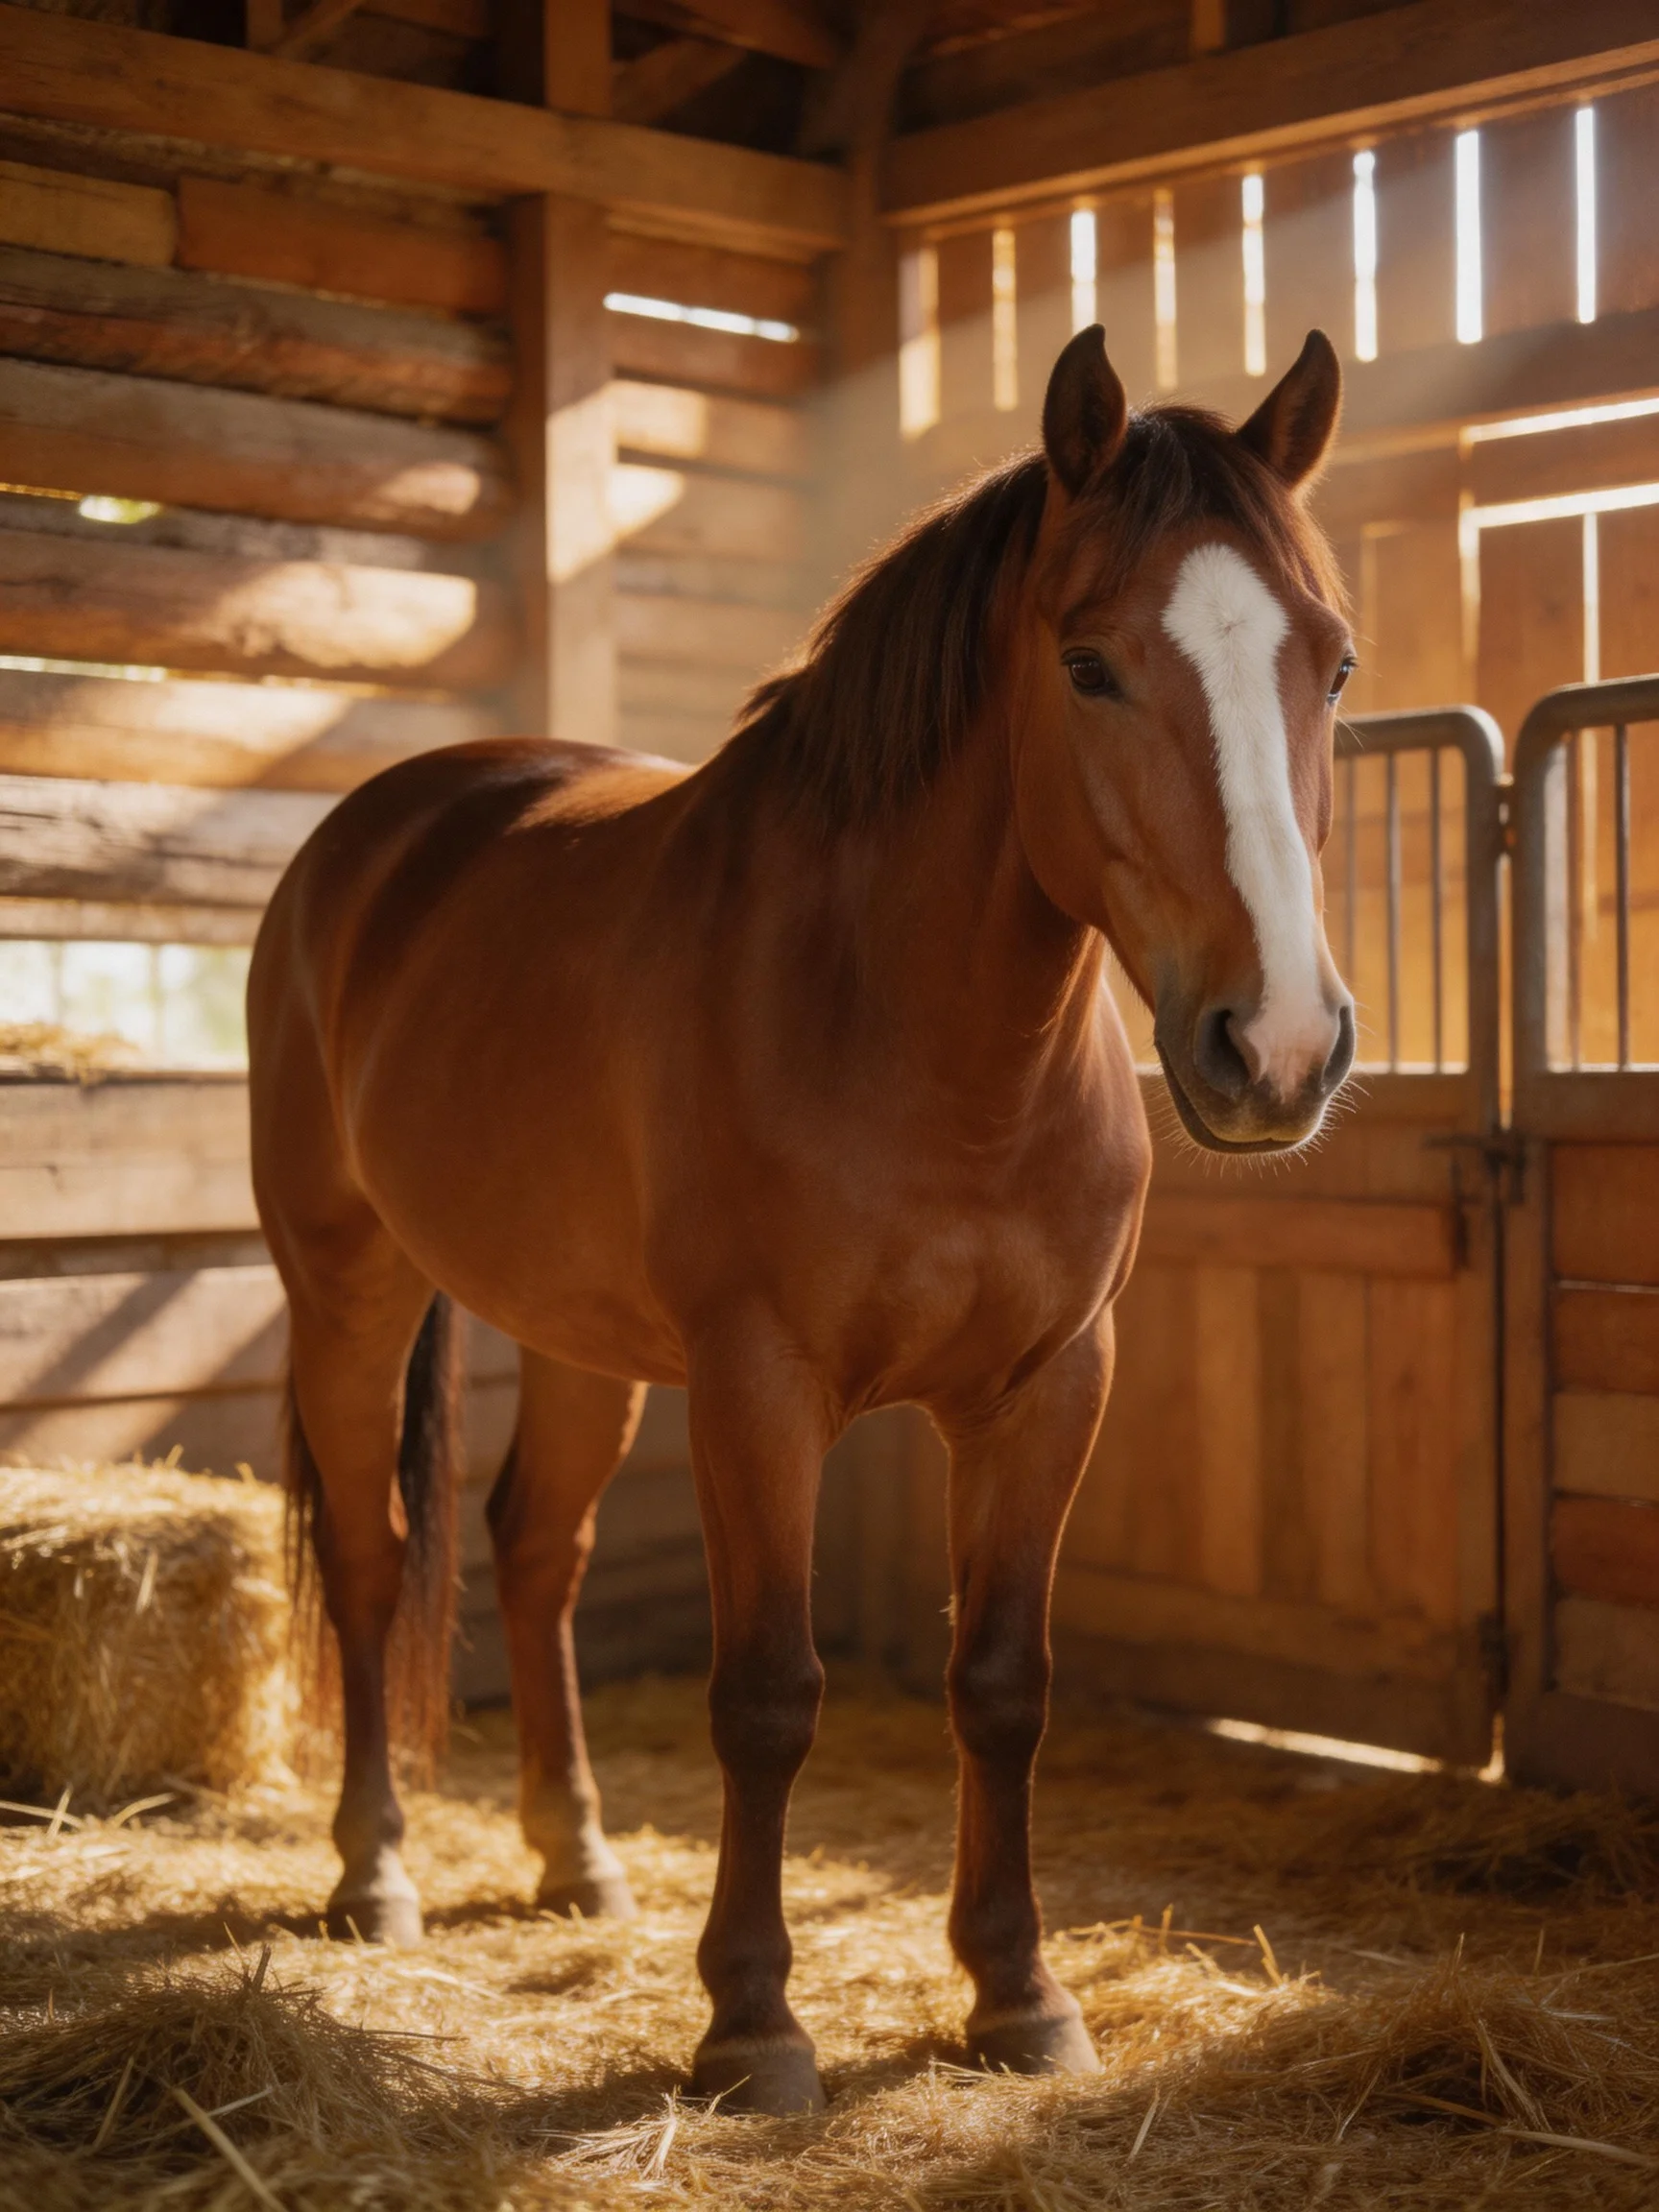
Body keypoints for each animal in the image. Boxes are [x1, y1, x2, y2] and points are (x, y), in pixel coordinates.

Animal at [247, 324, 1357, 2117]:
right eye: (1090, 664)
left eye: (1328, 664)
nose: (1276, 1048)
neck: (919, 1034)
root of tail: (373, 835)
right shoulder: (760, 1388)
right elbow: (767, 1694)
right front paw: (753, 2024)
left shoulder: (1053, 1385)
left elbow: (1005, 1686)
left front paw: (1016, 1992)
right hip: (348, 1292)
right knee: (371, 1555)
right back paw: (376, 1873)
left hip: (580, 1337)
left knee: (534, 1545)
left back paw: (576, 1856)